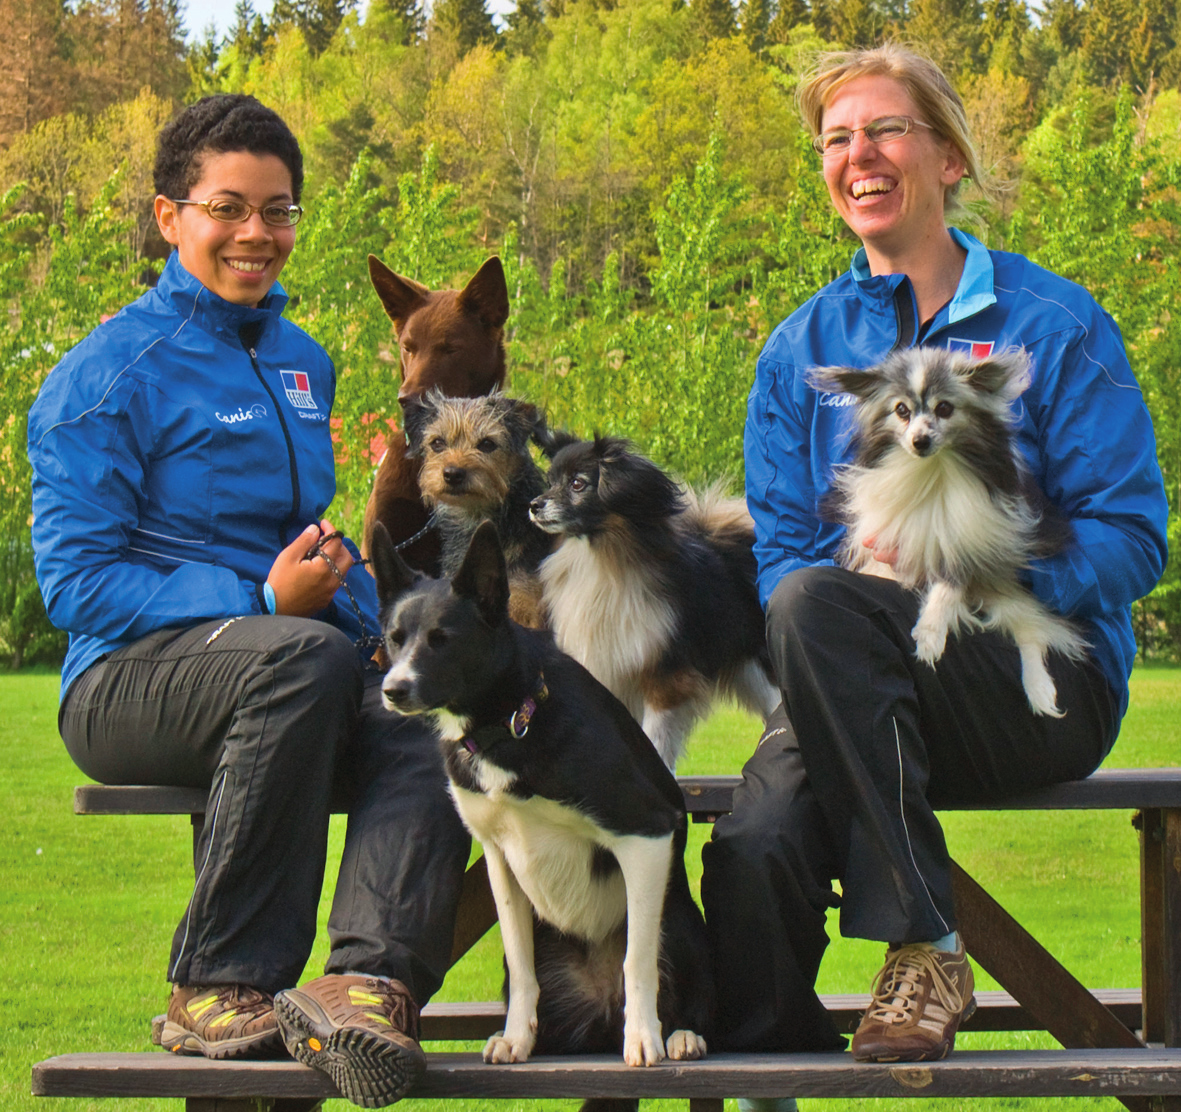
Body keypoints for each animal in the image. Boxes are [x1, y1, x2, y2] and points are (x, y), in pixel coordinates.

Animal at [531, 436, 779, 774]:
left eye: (578, 484)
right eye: (550, 482)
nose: (534, 505)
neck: (601, 559)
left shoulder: (665, 682)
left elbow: (656, 742)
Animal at [812, 347, 1086, 722]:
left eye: (944, 408)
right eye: (901, 410)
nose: (920, 441)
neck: (931, 471)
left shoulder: (971, 547)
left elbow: (949, 586)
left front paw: (930, 634)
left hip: (1011, 594)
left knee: (1031, 631)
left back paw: (1039, 689)